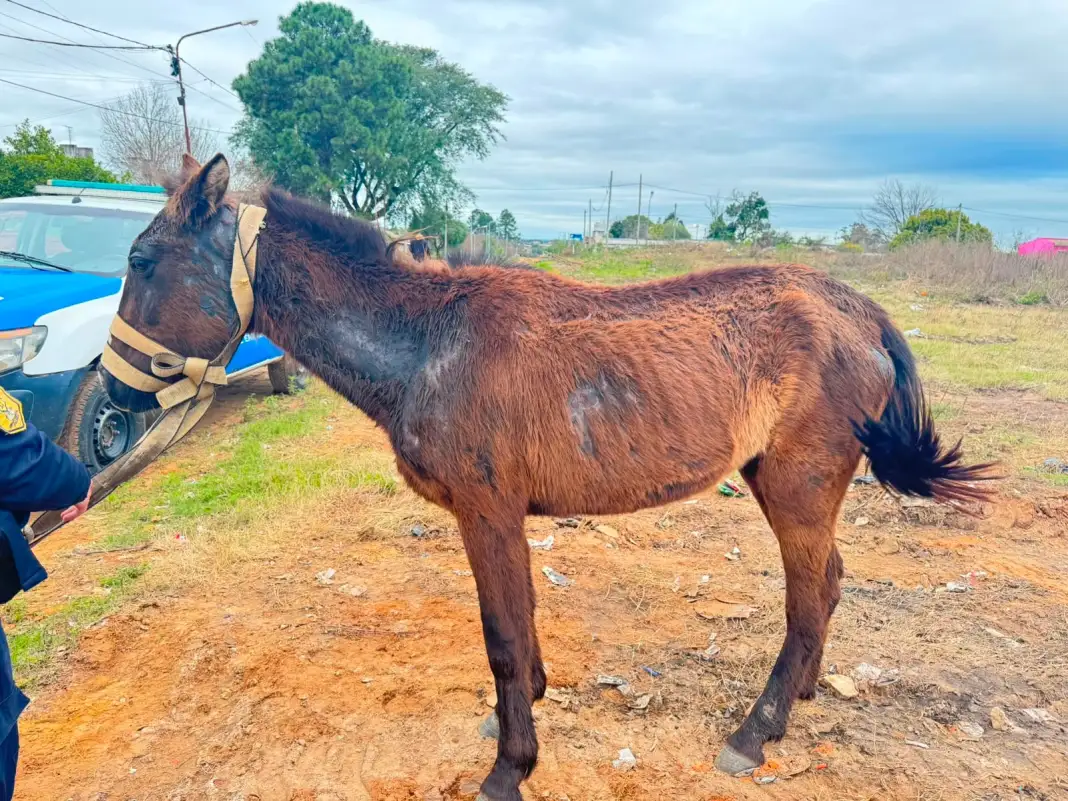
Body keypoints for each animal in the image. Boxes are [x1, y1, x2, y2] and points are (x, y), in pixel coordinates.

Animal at [101, 154, 994, 800]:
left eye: (141, 260)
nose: (112, 393)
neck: (429, 340)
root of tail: (856, 306)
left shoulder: (485, 511)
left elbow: (499, 634)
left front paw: (509, 767)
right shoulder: (504, 516)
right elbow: (522, 624)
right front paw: (529, 702)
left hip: (798, 487)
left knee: (809, 599)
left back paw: (755, 730)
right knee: (829, 583)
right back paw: (797, 700)